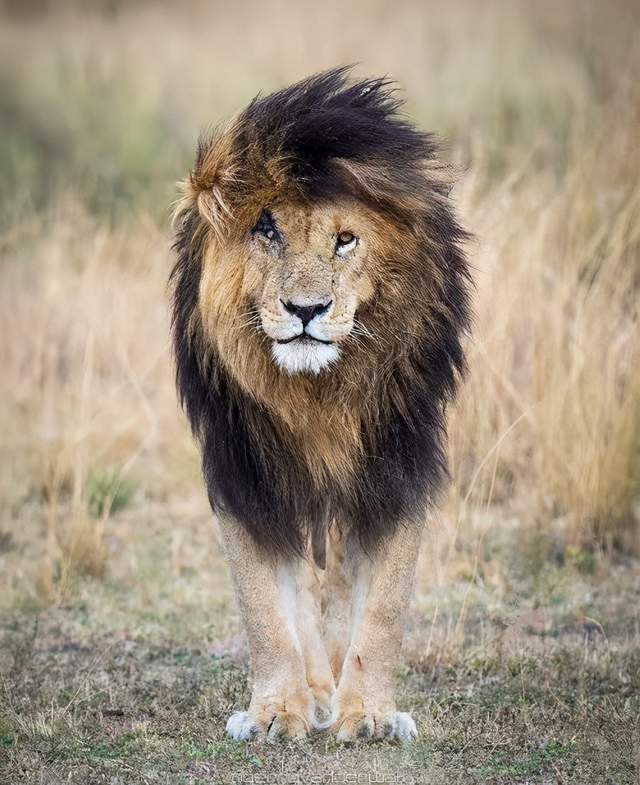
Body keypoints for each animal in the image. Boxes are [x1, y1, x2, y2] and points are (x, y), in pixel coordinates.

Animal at [170, 67, 470, 740]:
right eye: (267, 229)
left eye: (346, 240)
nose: (306, 310)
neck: (317, 396)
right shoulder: (245, 475)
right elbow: (264, 609)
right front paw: (279, 710)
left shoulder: (396, 469)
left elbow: (381, 610)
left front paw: (370, 714)